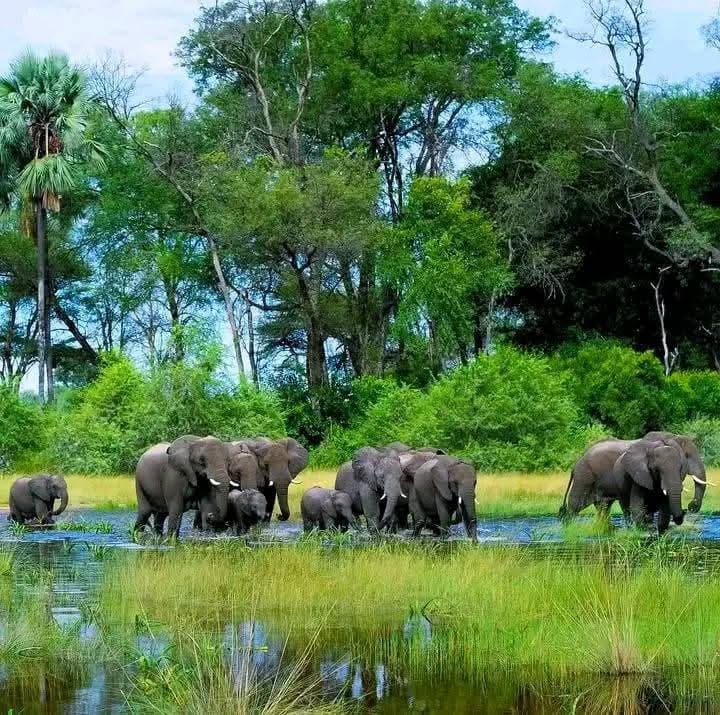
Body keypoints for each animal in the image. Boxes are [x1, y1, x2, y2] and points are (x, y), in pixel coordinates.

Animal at [560, 432, 707, 522]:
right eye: (687, 455)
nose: (690, 506)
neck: (671, 436)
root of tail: (576, 462)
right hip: (584, 477)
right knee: (574, 506)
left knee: (603, 507)